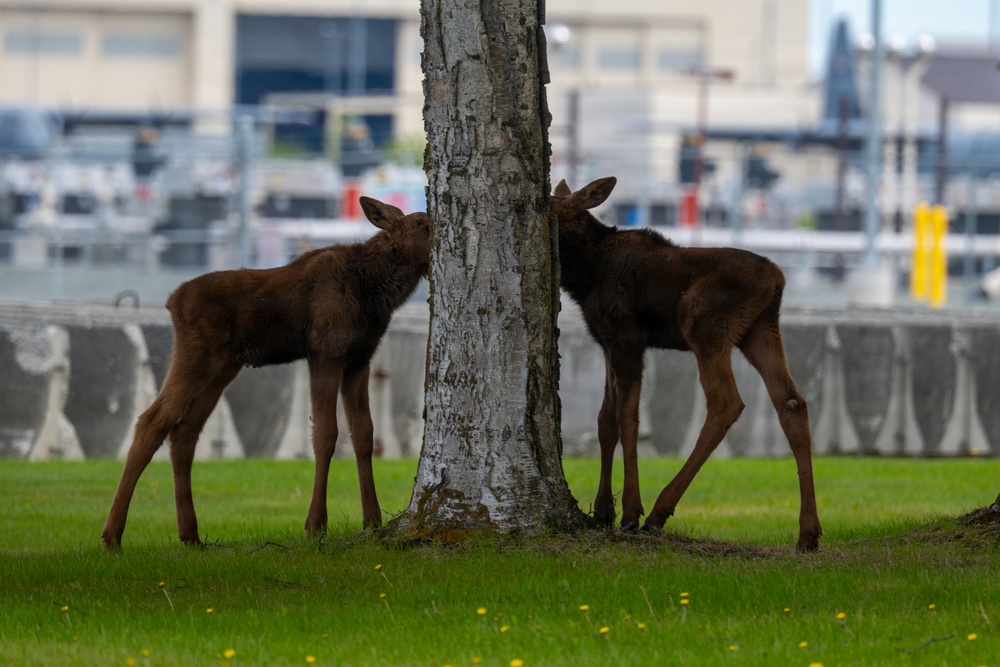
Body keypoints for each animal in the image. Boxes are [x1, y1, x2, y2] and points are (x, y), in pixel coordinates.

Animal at [101, 197, 430, 549]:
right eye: (423, 224)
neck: (375, 293)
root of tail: (171, 302)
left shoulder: (359, 359)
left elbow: (365, 434)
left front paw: (373, 520)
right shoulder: (324, 353)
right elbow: (325, 434)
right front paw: (316, 524)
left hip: (223, 366)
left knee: (184, 430)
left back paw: (190, 534)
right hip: (197, 356)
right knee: (153, 421)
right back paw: (113, 534)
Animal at [552, 177, 821, 552]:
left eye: (548, 206)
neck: (586, 274)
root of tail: (778, 280)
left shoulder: (627, 339)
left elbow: (627, 418)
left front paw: (630, 511)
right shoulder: (606, 340)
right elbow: (605, 419)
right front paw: (603, 509)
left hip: (703, 322)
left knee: (726, 402)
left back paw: (658, 512)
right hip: (760, 331)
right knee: (792, 402)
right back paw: (808, 532)